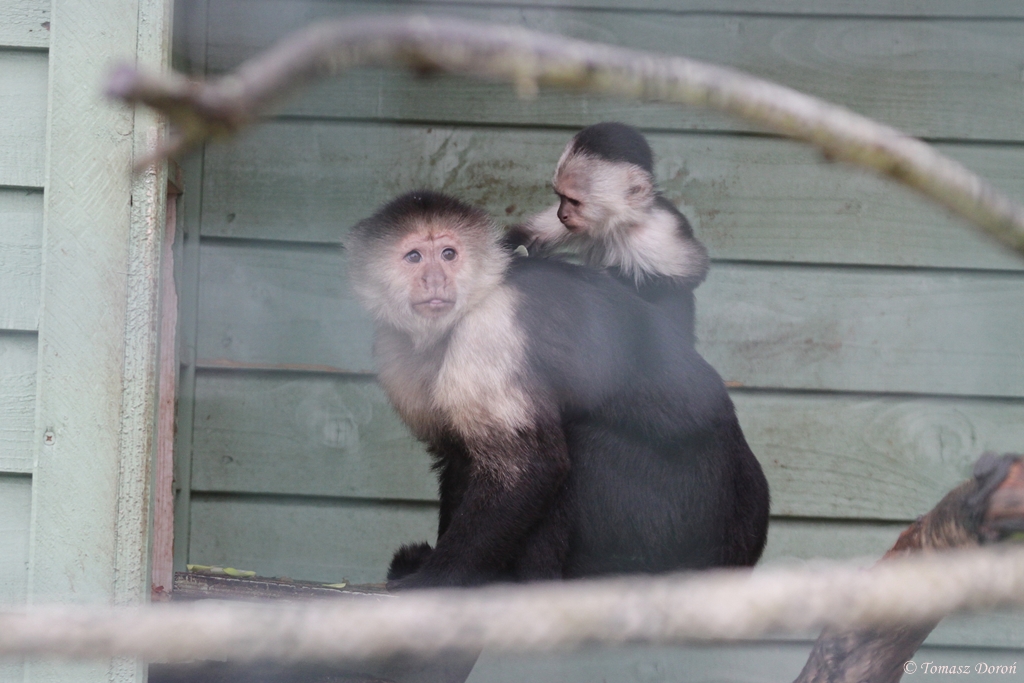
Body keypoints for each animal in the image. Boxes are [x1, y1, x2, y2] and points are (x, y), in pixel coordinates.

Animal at [348, 190, 769, 590]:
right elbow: (459, 457)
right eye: (414, 257)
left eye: (449, 254)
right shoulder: (394, 351)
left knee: (575, 444)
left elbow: (532, 466)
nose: (435, 280)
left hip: (679, 523)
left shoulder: (491, 329)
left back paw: (535, 580)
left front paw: (436, 579)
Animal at [507, 122, 708, 345]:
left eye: (574, 202)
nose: (562, 215)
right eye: (561, 198)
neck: (620, 223)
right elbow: (529, 236)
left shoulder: (653, 235)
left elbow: (694, 272)